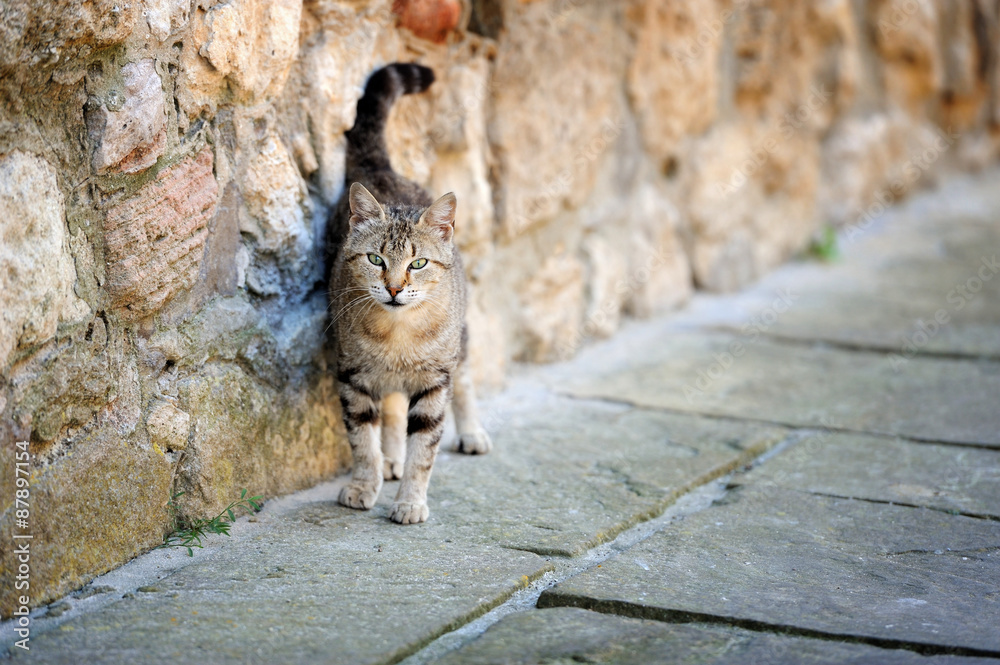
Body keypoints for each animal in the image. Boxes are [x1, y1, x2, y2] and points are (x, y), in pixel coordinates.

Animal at [328, 65, 492, 528]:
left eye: (418, 263)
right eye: (375, 259)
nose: (395, 288)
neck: (396, 335)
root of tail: (382, 168)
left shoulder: (435, 381)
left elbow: (425, 449)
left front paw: (410, 502)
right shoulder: (353, 375)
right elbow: (362, 439)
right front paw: (364, 484)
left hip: (461, 338)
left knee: (465, 377)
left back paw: (471, 432)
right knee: (392, 408)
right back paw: (390, 458)